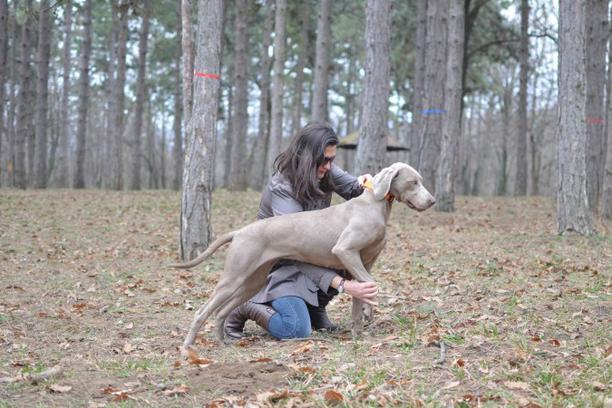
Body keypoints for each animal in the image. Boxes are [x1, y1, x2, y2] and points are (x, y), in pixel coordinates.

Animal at [172, 161, 436, 350]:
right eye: (413, 182)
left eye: (421, 181)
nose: (432, 201)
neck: (375, 204)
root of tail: (239, 232)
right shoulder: (345, 251)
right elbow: (372, 285)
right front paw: (370, 311)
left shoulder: (363, 263)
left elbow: (359, 298)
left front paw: (358, 333)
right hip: (233, 277)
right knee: (203, 311)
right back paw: (188, 347)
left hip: (252, 280)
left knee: (221, 312)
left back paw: (222, 342)